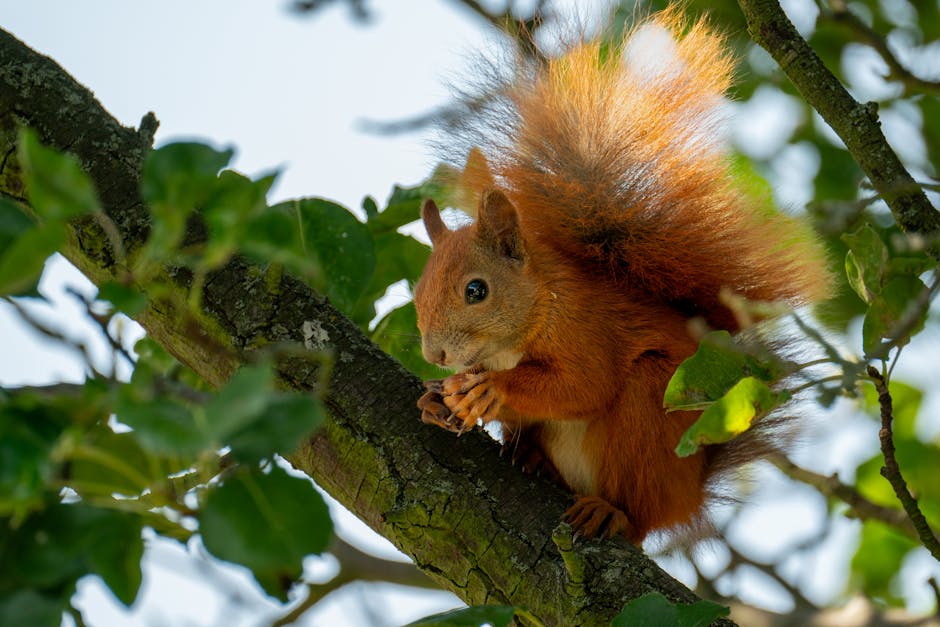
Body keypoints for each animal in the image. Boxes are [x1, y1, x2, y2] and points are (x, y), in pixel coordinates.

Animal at [413, 10, 830, 544]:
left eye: (476, 290)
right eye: (418, 293)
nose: (435, 354)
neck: (536, 307)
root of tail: (691, 490)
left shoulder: (587, 330)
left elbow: (585, 386)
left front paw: (492, 391)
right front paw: (434, 400)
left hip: (650, 415)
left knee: (640, 513)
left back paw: (610, 512)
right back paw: (531, 457)